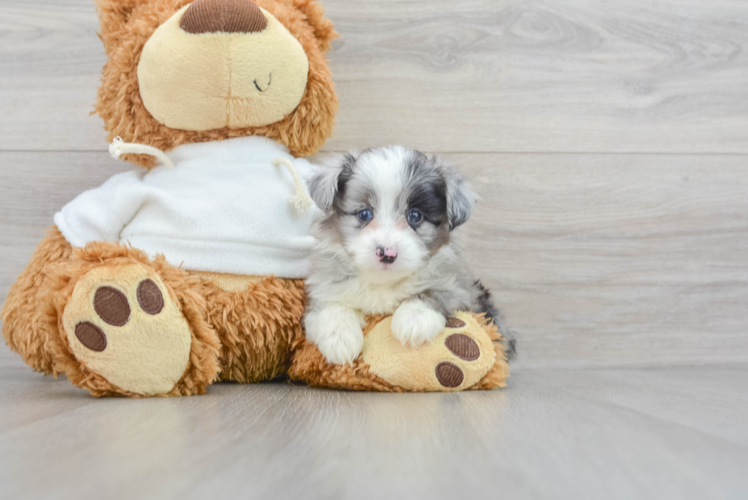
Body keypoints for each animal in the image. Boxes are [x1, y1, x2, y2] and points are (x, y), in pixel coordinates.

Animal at [304, 146, 516, 366]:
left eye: (415, 216)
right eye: (364, 214)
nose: (387, 253)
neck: (384, 281)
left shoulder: (460, 288)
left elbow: (433, 292)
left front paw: (414, 319)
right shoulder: (323, 289)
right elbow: (331, 306)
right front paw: (339, 339)